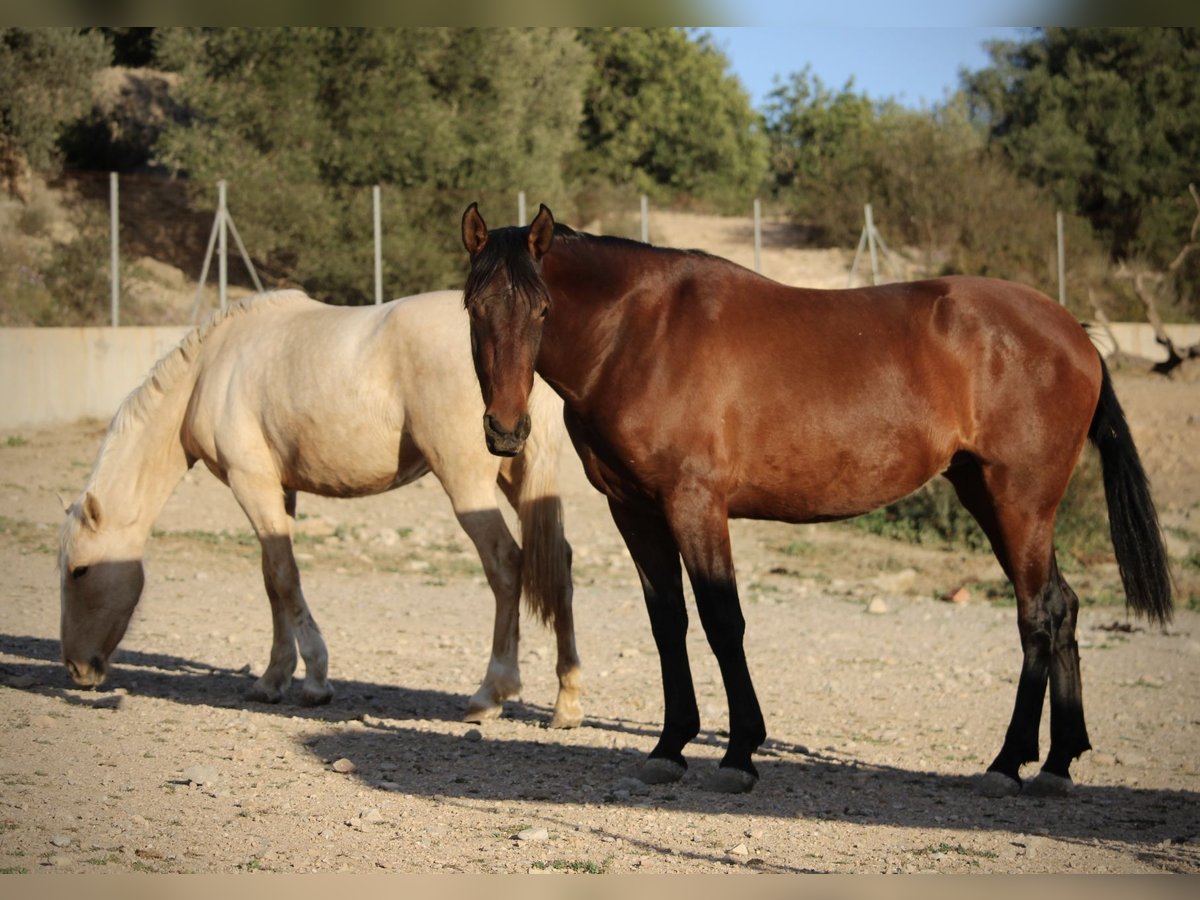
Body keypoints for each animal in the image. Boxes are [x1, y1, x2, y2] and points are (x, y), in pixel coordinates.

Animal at [58, 292, 583, 729]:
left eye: (80, 570)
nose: (77, 669)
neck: (210, 370)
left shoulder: (251, 483)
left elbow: (285, 577)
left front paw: (314, 679)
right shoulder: (279, 491)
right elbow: (272, 580)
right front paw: (272, 678)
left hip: (466, 482)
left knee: (506, 564)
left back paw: (490, 692)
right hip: (517, 480)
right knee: (559, 563)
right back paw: (567, 703)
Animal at [458, 202, 1171, 796]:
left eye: (543, 311)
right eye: (472, 309)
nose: (505, 430)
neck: (639, 334)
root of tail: (1076, 335)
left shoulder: (695, 503)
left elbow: (722, 621)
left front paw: (739, 753)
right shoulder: (633, 509)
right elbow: (669, 624)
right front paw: (669, 747)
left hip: (1018, 502)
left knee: (1038, 615)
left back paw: (1007, 764)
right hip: (991, 498)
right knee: (1063, 607)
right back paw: (1057, 764)